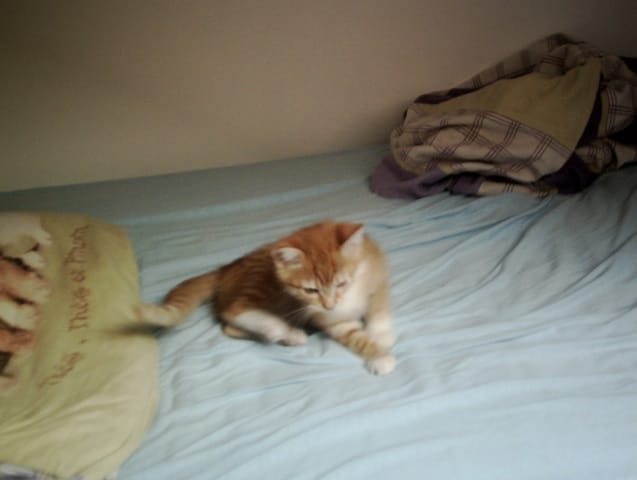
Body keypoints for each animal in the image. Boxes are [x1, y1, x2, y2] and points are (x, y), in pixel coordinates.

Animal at [139, 221, 397, 375]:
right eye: (311, 291)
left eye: (342, 283)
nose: (330, 305)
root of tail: (225, 269)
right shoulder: (332, 320)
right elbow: (354, 335)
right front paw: (380, 356)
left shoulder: (377, 275)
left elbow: (379, 306)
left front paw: (380, 334)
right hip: (263, 285)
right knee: (233, 311)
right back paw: (278, 329)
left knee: (229, 328)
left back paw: (288, 334)